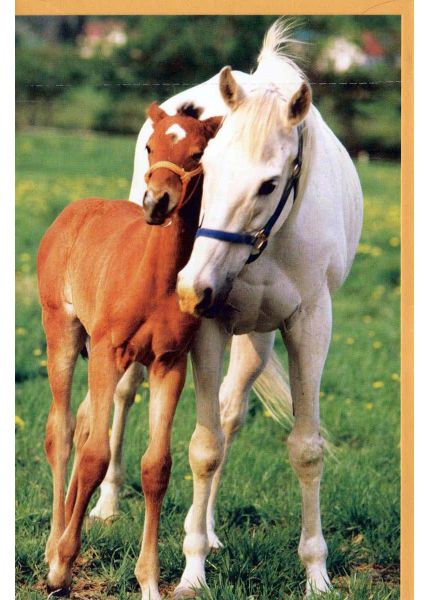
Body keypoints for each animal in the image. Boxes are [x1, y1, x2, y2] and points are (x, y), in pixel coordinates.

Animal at [36, 104, 221, 600]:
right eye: (150, 146)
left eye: (198, 152)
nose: (156, 203)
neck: (153, 278)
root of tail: (74, 210)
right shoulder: (107, 352)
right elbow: (96, 456)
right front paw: (62, 567)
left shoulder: (168, 364)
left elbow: (156, 467)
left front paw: (150, 581)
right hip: (63, 332)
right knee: (62, 431)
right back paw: (53, 545)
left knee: (82, 424)